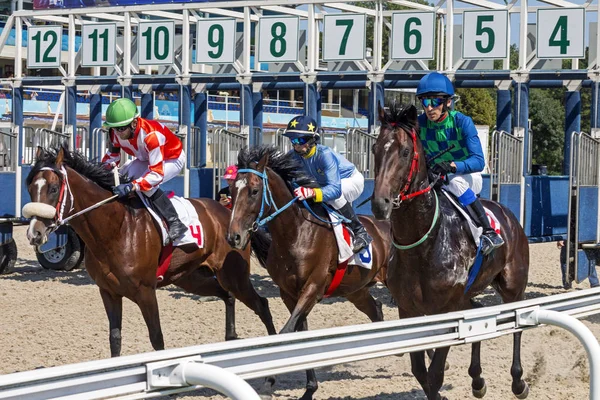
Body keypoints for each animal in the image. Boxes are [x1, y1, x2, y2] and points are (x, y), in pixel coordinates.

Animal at [23, 146, 276, 356]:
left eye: (53, 188)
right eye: (30, 188)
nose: (34, 233)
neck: (116, 229)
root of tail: (231, 215)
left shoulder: (146, 292)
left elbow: (157, 339)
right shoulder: (109, 292)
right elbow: (115, 339)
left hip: (234, 275)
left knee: (261, 305)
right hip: (192, 278)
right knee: (227, 295)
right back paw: (230, 336)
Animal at [227, 146, 392, 400]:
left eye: (254, 191)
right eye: (232, 192)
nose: (234, 237)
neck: (296, 233)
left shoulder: (313, 289)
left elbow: (286, 333)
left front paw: (270, 376)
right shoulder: (289, 293)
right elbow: (299, 334)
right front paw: (307, 388)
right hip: (356, 290)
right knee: (376, 309)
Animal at [370, 105, 528, 400]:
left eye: (405, 151)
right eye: (375, 148)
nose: (379, 203)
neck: (423, 245)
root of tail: (509, 214)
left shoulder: (446, 309)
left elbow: (434, 375)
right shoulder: (408, 310)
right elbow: (420, 371)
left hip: (513, 286)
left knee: (517, 326)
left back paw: (518, 381)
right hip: (466, 296)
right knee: (478, 312)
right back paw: (477, 379)